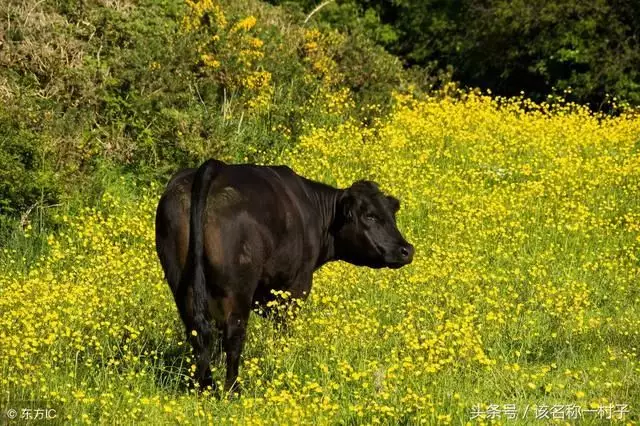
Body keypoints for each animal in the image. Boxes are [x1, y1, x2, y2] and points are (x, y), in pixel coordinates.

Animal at [156, 161, 416, 396]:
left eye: (391, 214)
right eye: (370, 216)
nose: (406, 250)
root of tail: (214, 167)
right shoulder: (295, 288)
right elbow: (283, 331)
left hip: (184, 285)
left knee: (198, 332)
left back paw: (204, 387)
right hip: (238, 289)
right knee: (233, 334)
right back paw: (232, 390)